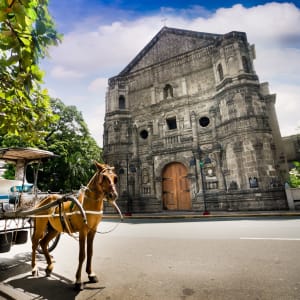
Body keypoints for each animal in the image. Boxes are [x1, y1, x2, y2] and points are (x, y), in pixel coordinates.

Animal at [31, 162, 118, 290]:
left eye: (115, 178)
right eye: (104, 177)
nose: (113, 195)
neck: (90, 203)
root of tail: (43, 200)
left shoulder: (93, 230)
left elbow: (90, 252)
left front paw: (91, 274)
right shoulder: (83, 231)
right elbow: (82, 255)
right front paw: (78, 280)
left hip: (54, 229)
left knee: (43, 243)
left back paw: (49, 266)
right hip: (40, 226)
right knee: (34, 243)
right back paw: (34, 267)